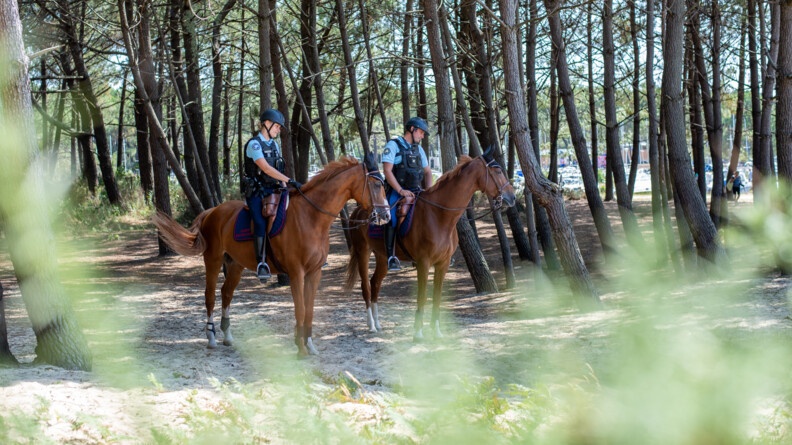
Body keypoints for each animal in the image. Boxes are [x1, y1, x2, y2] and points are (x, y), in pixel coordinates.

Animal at [153, 155, 390, 355]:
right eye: (377, 184)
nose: (386, 215)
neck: (311, 217)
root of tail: (212, 211)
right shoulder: (296, 273)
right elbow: (300, 309)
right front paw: (300, 348)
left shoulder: (314, 273)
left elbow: (310, 309)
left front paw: (309, 344)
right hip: (213, 260)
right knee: (210, 295)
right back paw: (211, 338)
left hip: (236, 265)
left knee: (226, 293)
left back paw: (228, 336)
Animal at [344, 150, 517, 340]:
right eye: (498, 171)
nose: (512, 196)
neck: (439, 215)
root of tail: (359, 210)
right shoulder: (423, 263)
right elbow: (422, 296)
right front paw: (418, 332)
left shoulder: (443, 264)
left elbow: (437, 297)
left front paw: (437, 331)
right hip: (362, 252)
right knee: (366, 287)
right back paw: (371, 325)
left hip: (382, 256)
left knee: (375, 283)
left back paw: (378, 323)